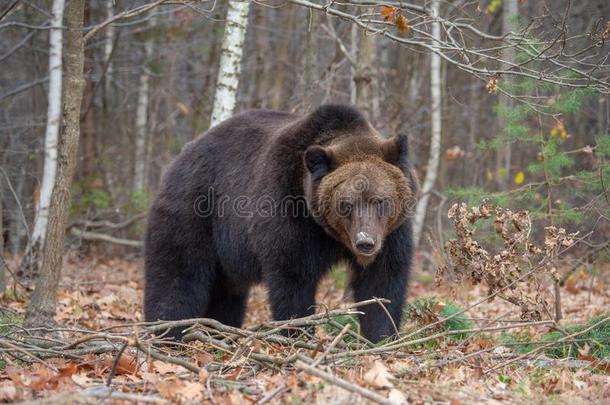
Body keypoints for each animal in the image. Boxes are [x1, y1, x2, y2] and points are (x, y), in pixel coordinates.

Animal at [143, 104, 418, 340]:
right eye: (346, 204)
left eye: (380, 201)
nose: (365, 243)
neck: (330, 235)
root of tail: (180, 156)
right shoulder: (289, 212)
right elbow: (293, 281)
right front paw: (298, 333)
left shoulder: (392, 234)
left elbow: (382, 283)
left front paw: (382, 337)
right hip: (196, 212)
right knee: (177, 276)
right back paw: (166, 332)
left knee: (225, 297)